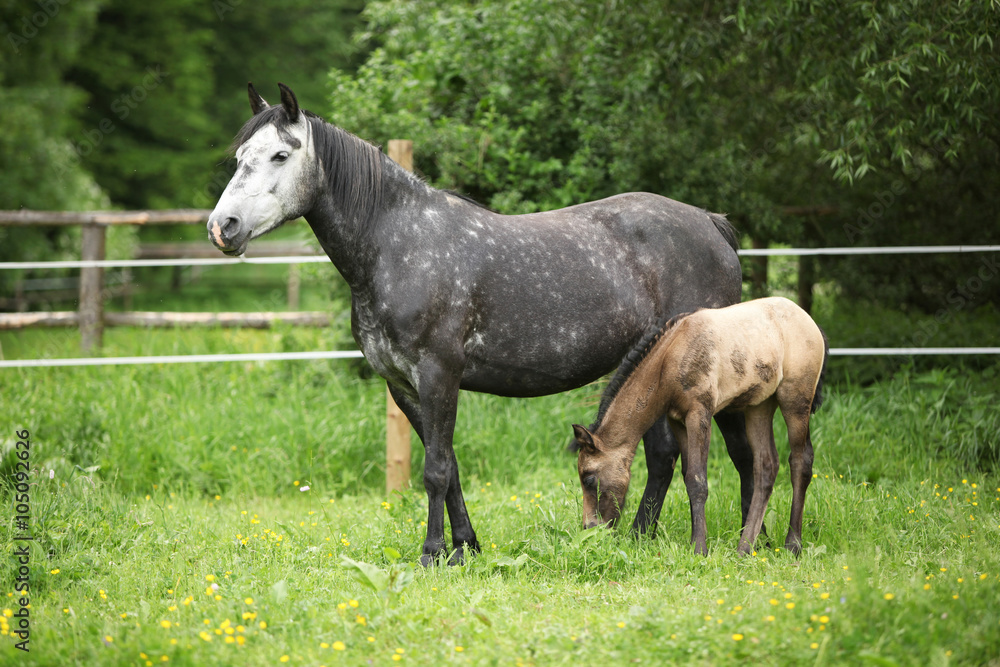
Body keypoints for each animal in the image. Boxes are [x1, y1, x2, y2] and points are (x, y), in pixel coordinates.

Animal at [572, 298, 828, 560]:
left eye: (589, 479)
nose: (589, 527)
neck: (671, 358)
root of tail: (809, 321)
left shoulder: (700, 413)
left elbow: (697, 480)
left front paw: (699, 549)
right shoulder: (677, 420)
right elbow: (688, 477)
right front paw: (697, 542)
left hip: (795, 399)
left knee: (800, 461)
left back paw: (792, 545)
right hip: (759, 406)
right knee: (766, 466)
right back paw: (744, 548)